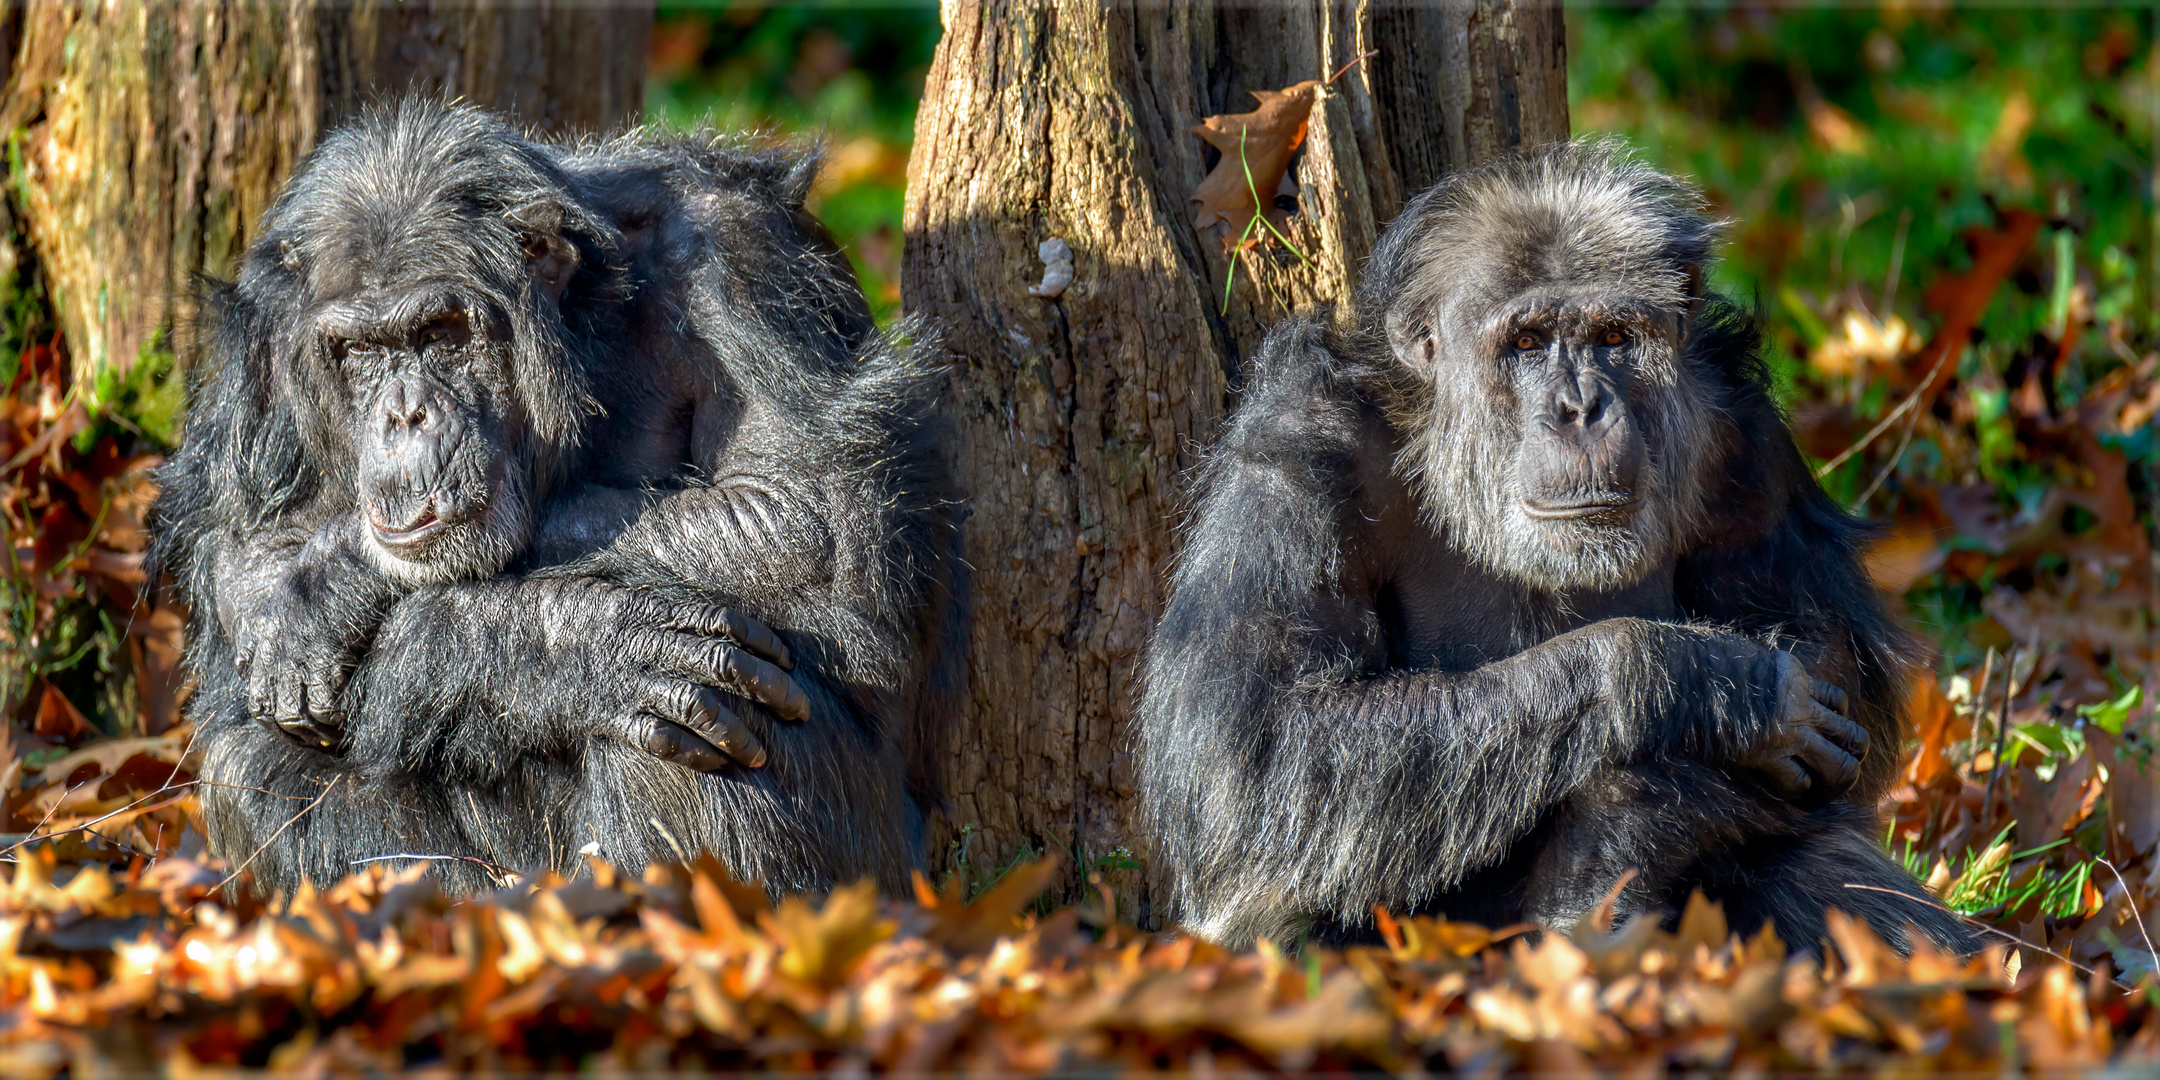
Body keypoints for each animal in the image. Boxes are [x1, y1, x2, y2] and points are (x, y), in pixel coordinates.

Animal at [152, 99, 963, 894]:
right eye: (360, 352)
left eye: (440, 333)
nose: (404, 414)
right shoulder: (259, 347)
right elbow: (239, 551)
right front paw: (578, 645)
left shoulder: (743, 257)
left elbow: (800, 510)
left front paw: (337, 583)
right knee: (249, 767)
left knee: (703, 723)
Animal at [1149, 141, 1978, 954]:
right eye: (1527, 342)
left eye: (1612, 338)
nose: (1580, 407)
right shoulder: (1300, 451)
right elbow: (1252, 738)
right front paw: (1711, 683)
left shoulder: (1745, 442)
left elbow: (1835, 668)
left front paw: (1623, 824)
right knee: (1281, 891)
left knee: (1832, 872)